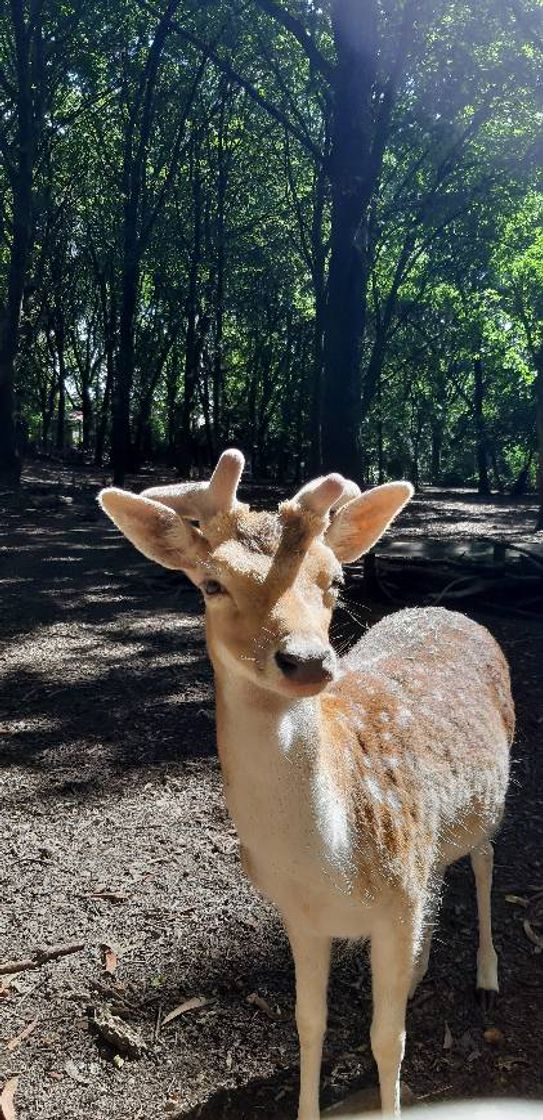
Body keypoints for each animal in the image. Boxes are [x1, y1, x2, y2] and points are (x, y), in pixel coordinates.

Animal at [98, 450, 512, 1115]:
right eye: (211, 584)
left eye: (336, 581)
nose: (308, 661)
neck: (329, 867)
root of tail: (449, 608)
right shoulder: (302, 917)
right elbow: (308, 1022)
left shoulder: (395, 907)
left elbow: (387, 1039)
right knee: (442, 879)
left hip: (490, 805)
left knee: (484, 860)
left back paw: (486, 977)